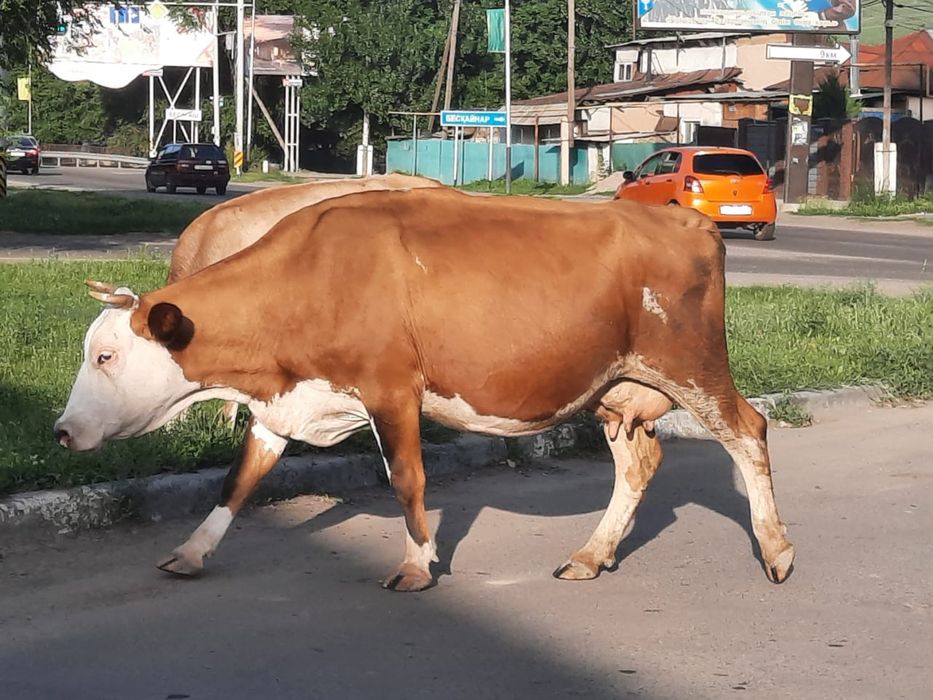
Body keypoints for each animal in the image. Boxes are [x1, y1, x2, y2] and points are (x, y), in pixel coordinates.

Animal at [54, 188, 795, 592]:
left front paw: (416, 564)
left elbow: (407, 479)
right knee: (639, 462)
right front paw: (191, 552)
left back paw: (777, 551)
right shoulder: (286, 400)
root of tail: (681, 217)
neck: (312, 276)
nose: (61, 432)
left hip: (692, 364)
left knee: (747, 432)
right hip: (612, 386)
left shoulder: (390, 388)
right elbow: (238, 482)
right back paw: (590, 556)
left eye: (106, 355)